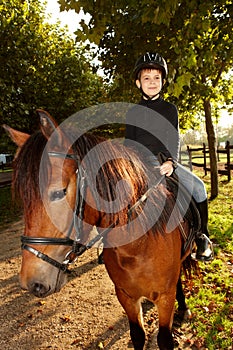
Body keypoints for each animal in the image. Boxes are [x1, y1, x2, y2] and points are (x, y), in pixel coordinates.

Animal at [4, 110, 196, 350]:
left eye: (58, 193)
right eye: (24, 199)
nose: (31, 282)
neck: (136, 248)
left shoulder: (165, 297)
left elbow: (164, 339)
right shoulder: (125, 296)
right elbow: (137, 335)